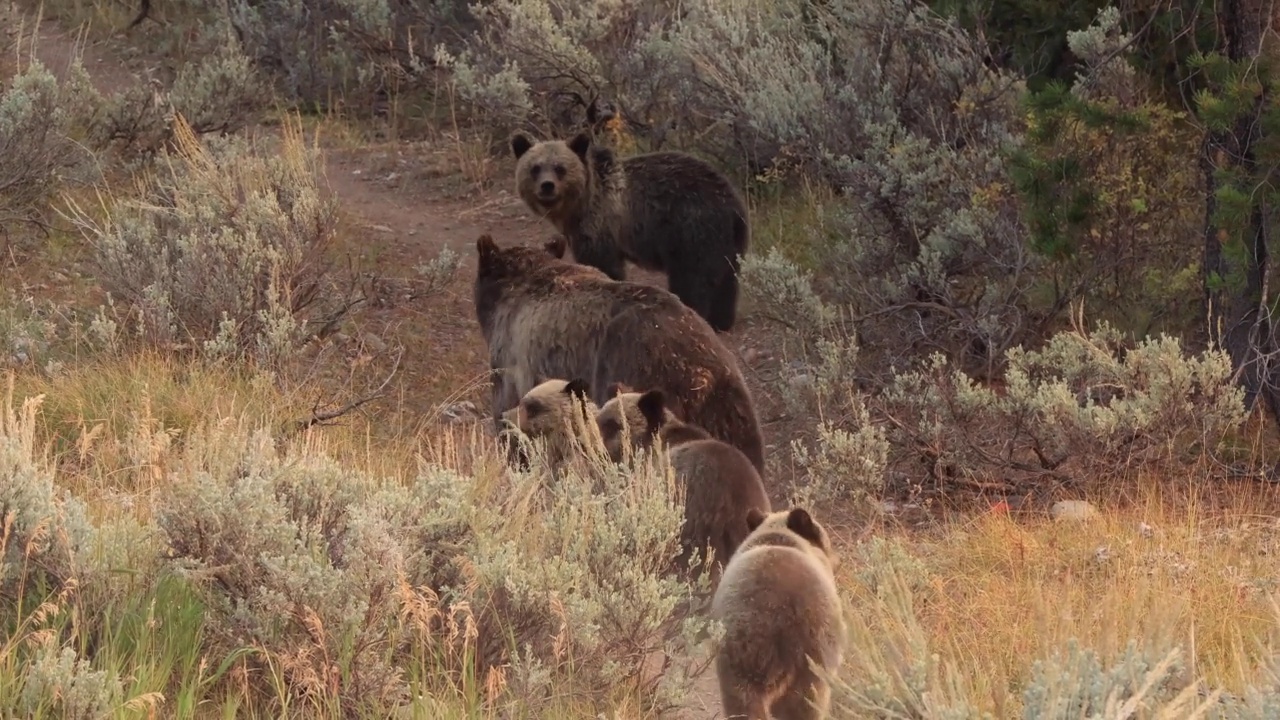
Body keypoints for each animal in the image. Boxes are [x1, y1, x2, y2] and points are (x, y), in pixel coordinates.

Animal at [509, 130, 747, 333]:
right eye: (535, 168)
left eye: (560, 168)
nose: (547, 186)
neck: (577, 207)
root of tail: (732, 205)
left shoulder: (599, 225)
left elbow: (603, 264)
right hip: (729, 241)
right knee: (727, 279)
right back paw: (721, 321)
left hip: (690, 229)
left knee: (692, 277)